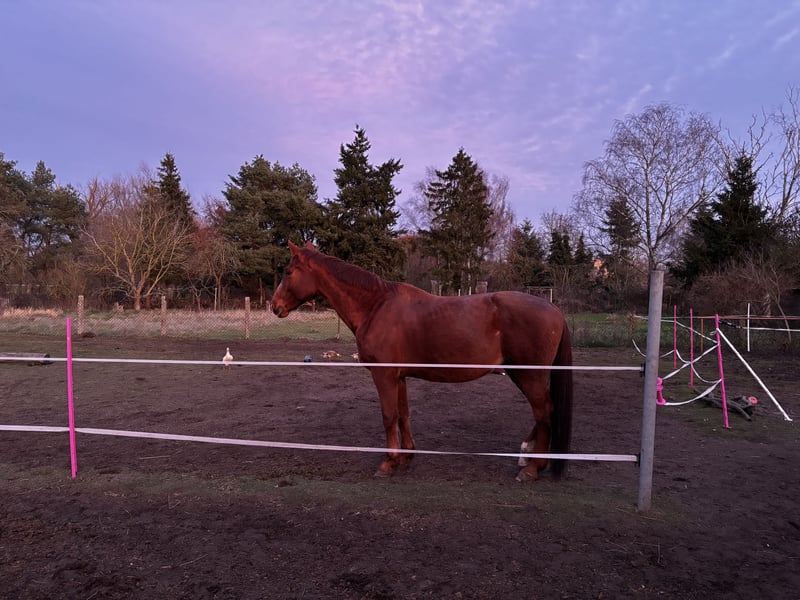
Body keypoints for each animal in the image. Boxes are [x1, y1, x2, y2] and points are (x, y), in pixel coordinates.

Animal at [271, 241, 573, 482]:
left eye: (288, 272)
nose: (275, 306)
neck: (375, 306)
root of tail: (555, 310)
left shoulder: (383, 375)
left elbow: (388, 415)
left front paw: (388, 462)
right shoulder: (400, 376)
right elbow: (403, 414)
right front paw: (406, 456)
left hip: (528, 374)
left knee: (544, 411)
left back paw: (532, 468)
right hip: (521, 373)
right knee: (544, 412)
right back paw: (527, 456)